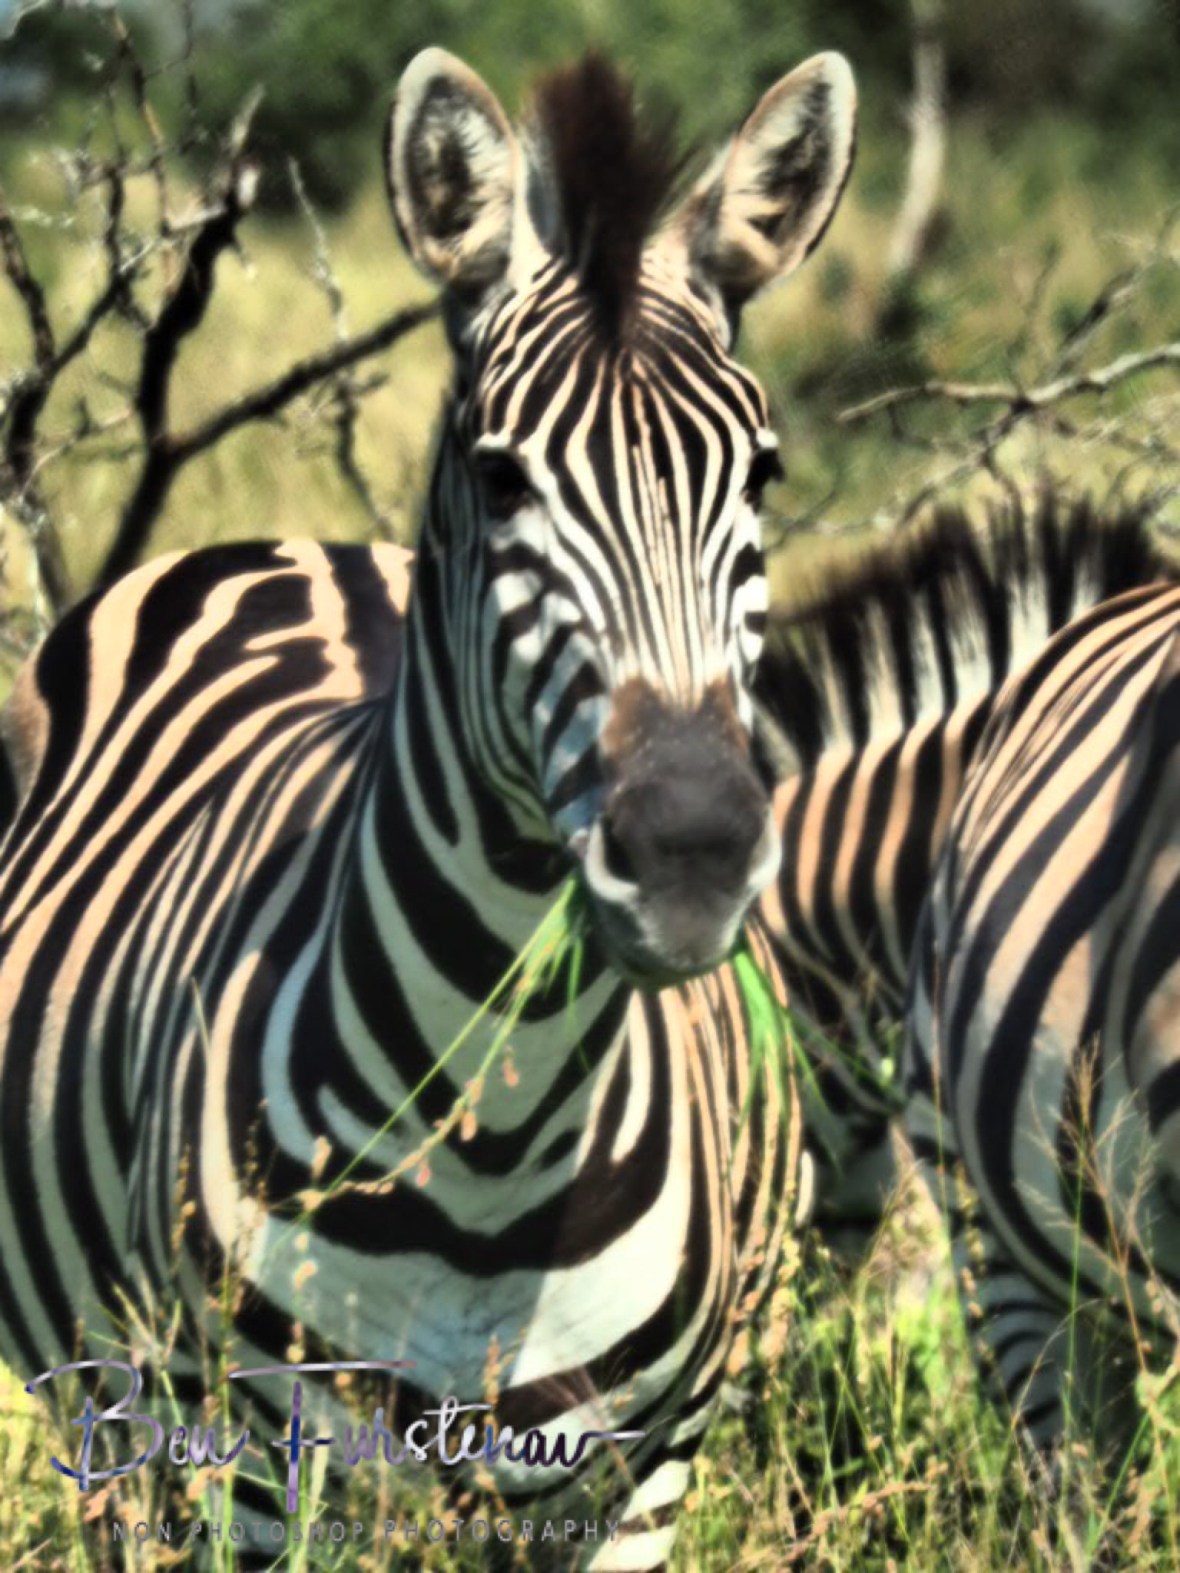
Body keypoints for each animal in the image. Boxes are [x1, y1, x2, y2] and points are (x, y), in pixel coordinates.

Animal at [0, 46, 856, 1567]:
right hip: (113, 1414)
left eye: (761, 473)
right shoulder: (253, 1473)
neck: (499, 1151)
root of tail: (287, 545)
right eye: (501, 475)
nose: (692, 857)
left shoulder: (648, 1473)